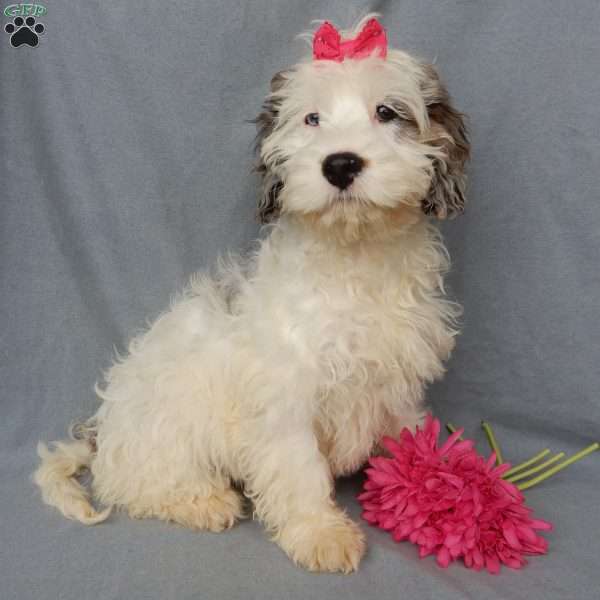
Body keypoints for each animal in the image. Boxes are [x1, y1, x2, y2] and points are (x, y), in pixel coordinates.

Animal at [35, 16, 472, 576]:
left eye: (387, 112)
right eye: (311, 119)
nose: (340, 164)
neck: (354, 260)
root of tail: (99, 431)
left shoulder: (395, 383)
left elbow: (408, 441)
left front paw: (433, 491)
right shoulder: (286, 397)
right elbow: (300, 469)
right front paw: (321, 532)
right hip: (167, 429)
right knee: (133, 483)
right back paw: (201, 502)